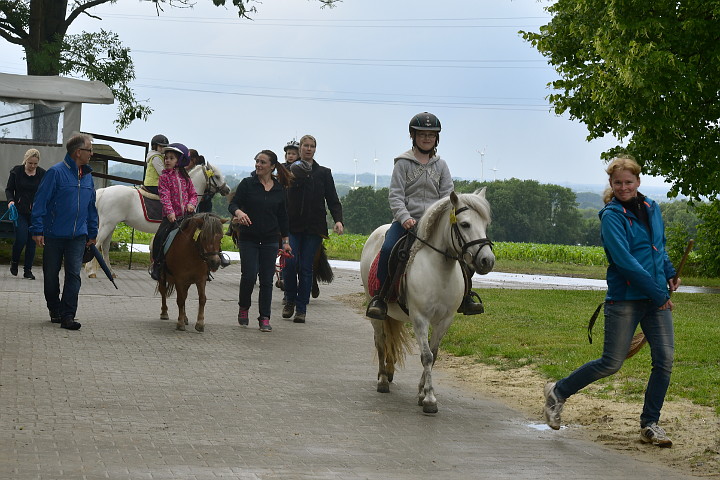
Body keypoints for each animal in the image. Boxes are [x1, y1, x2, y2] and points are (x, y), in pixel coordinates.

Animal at [86, 163, 229, 278]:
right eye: (216, 176)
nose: (227, 189)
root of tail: (104, 192)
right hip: (107, 225)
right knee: (97, 243)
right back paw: (90, 271)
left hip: (111, 225)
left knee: (105, 247)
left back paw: (110, 272)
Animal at [360, 189, 496, 414]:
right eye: (465, 224)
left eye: (485, 225)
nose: (487, 261)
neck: (440, 271)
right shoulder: (420, 318)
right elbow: (426, 356)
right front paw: (430, 400)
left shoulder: (445, 320)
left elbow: (434, 354)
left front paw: (422, 393)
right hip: (375, 311)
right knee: (380, 342)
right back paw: (383, 380)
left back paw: (389, 373)